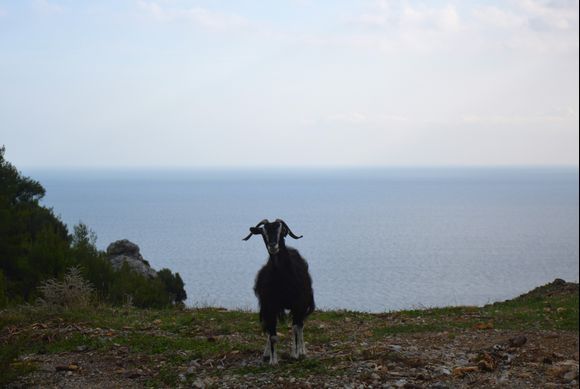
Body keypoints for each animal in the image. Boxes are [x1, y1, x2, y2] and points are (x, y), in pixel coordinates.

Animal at [242, 218, 314, 364]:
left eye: (281, 231)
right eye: (263, 233)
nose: (273, 246)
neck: (283, 279)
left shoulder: (299, 304)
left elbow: (295, 328)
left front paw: (295, 354)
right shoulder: (270, 305)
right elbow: (272, 335)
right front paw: (273, 360)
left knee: (300, 325)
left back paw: (302, 351)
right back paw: (266, 354)